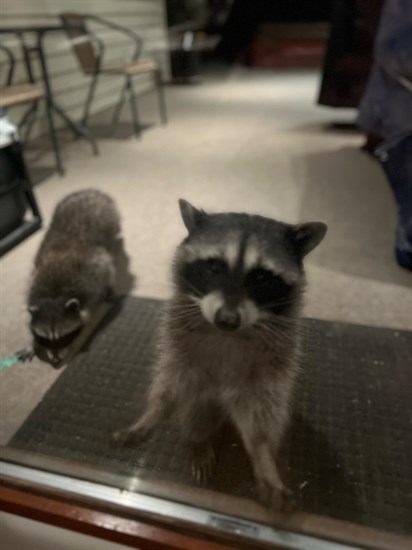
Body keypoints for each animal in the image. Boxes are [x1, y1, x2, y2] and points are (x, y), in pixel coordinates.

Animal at [27, 190, 119, 366]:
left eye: (64, 337)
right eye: (45, 339)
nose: (56, 361)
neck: (54, 295)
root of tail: (88, 191)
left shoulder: (94, 274)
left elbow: (108, 269)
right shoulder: (34, 277)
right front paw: (32, 343)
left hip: (109, 222)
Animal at [112, 201, 326, 512]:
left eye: (261, 277)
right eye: (214, 267)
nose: (227, 320)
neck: (229, 335)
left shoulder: (276, 359)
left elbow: (262, 414)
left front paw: (263, 457)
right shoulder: (177, 341)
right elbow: (170, 383)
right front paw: (153, 413)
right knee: (194, 406)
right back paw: (198, 440)